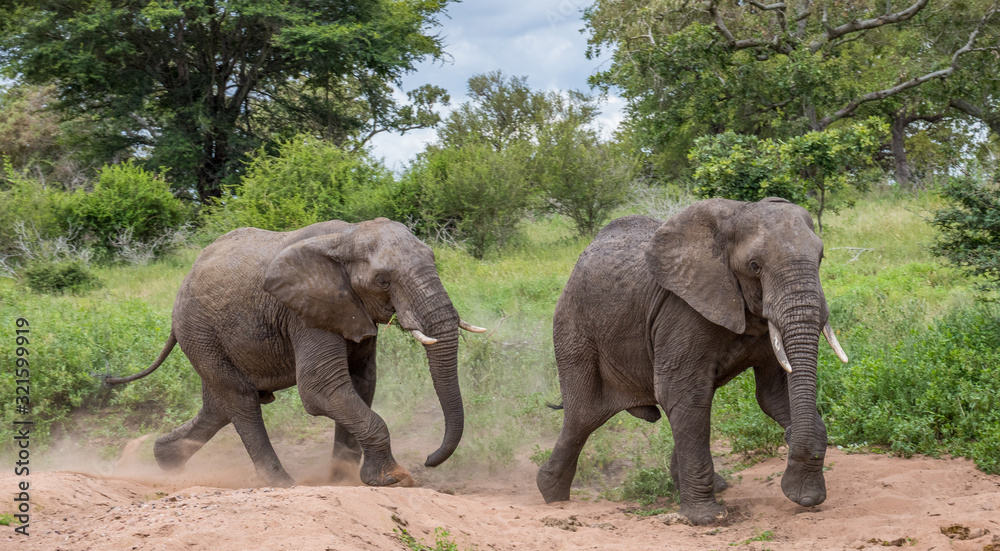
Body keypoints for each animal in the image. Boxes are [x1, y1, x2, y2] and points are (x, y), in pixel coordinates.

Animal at [107, 218, 485, 488]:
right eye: (383, 281)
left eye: (433, 259)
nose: (429, 458)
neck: (346, 236)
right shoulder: (303, 313)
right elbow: (321, 390)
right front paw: (395, 479)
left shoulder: (349, 310)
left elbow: (361, 383)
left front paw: (343, 480)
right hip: (199, 331)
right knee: (241, 401)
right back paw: (282, 483)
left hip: (208, 338)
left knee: (218, 406)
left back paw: (166, 463)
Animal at [535, 197, 848, 525]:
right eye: (754, 266)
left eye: (821, 257)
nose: (789, 440)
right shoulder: (680, 312)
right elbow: (682, 392)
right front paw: (708, 518)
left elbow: (774, 395)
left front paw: (806, 495)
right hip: (574, 330)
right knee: (583, 416)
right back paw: (553, 496)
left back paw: (715, 484)